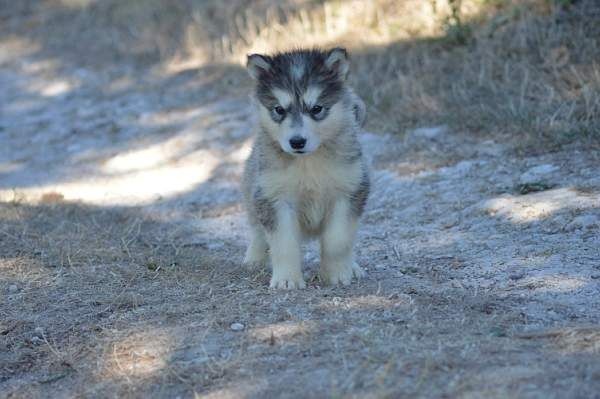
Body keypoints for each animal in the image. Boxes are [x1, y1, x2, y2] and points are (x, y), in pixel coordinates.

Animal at [241, 48, 368, 290]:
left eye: (316, 108)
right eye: (279, 109)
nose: (297, 142)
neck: (308, 162)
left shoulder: (348, 191)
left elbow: (338, 240)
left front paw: (337, 273)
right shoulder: (274, 198)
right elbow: (284, 243)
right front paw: (287, 279)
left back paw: (353, 266)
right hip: (254, 193)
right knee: (257, 231)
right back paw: (254, 259)